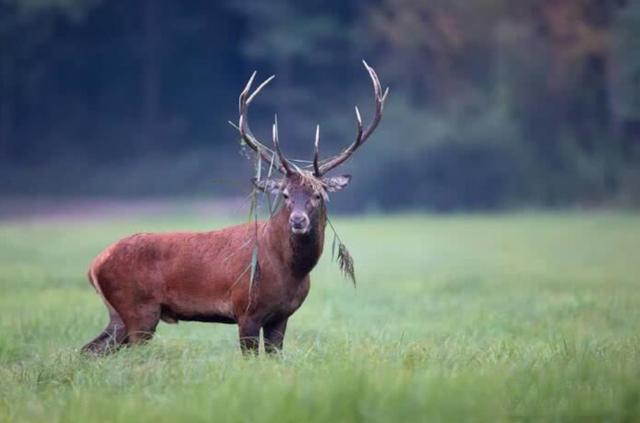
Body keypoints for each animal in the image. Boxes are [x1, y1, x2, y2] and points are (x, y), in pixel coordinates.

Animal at [82, 61, 388, 356]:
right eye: (286, 195)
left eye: (318, 194)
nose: (298, 221)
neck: (289, 270)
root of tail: (94, 265)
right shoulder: (246, 310)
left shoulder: (281, 316)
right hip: (138, 308)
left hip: (119, 315)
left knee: (90, 350)